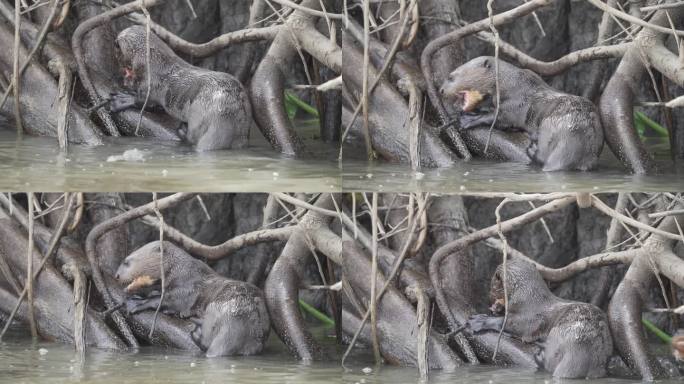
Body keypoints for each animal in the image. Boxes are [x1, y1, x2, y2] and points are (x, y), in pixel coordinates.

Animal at [112, 25, 251, 151]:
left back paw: (183, 131)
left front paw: (123, 99)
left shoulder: (151, 83)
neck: (151, 60)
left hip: (199, 111)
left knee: (193, 136)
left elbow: (145, 101)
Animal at [115, 240, 270, 356]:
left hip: (215, 307)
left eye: (126, 262)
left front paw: (135, 303)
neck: (180, 270)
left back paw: (196, 330)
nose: (116, 275)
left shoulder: (186, 288)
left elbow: (165, 300)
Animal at [438, 55, 604, 171]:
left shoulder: (516, 104)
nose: (441, 90)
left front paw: (468, 118)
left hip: (549, 125)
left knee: (543, 155)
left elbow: (499, 118)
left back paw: (533, 149)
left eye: (451, 77)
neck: (509, 83)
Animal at [468, 258, 612, 378]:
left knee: (550, 362)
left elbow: (510, 323)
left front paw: (479, 320)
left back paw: (540, 354)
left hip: (557, 333)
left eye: (492, 286)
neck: (528, 297)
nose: (489, 297)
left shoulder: (530, 318)